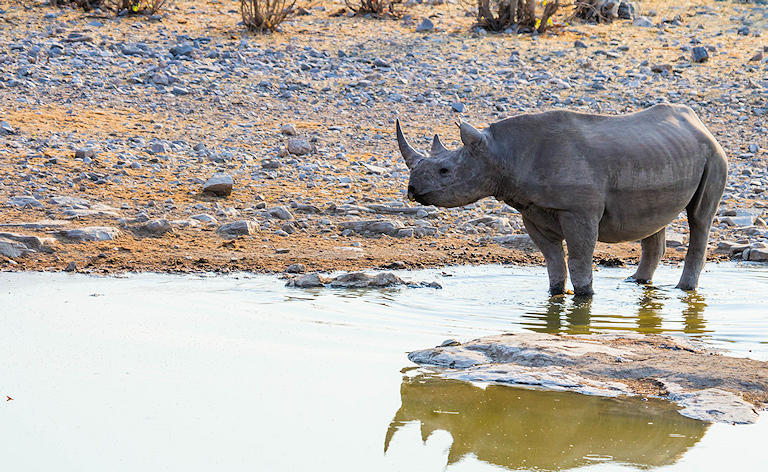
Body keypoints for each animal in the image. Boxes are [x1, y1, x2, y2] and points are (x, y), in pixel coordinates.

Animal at [396, 104, 728, 296]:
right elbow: (552, 259)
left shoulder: (578, 209)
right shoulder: (532, 209)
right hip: (661, 152)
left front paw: (584, 296)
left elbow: (579, 257)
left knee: (700, 218)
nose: (412, 190)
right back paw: (635, 282)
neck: (502, 154)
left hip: (714, 155)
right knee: (653, 219)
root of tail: (700, 124)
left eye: (444, 171)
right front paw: (555, 294)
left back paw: (684, 290)